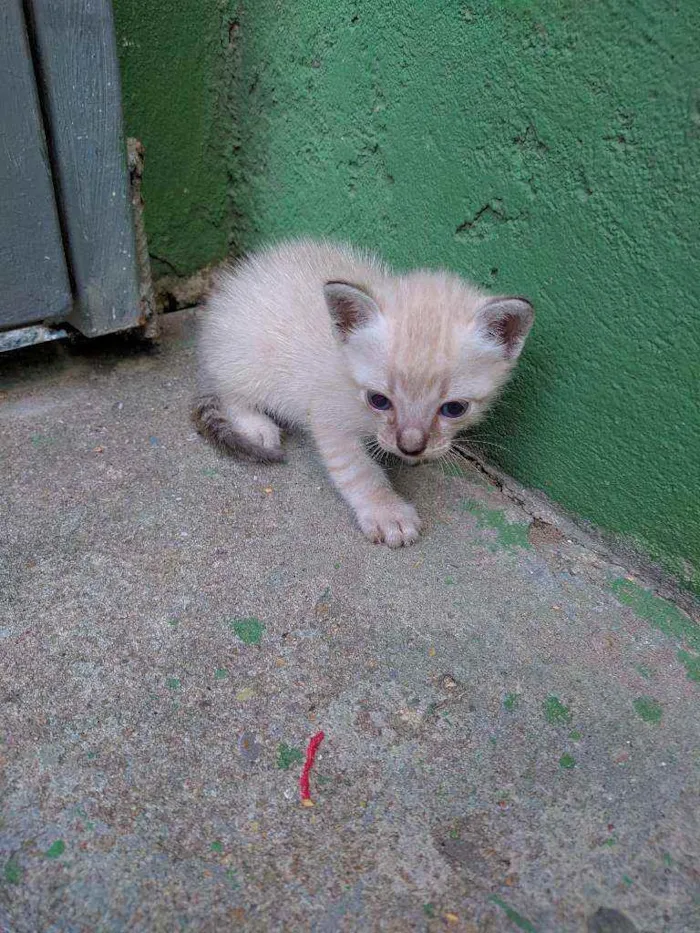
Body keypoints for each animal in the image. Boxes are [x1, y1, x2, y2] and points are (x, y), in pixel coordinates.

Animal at [194, 238, 532, 548]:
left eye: (454, 409)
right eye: (378, 400)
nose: (410, 447)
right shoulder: (328, 416)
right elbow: (359, 471)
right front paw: (386, 512)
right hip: (247, 362)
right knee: (230, 392)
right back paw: (257, 425)